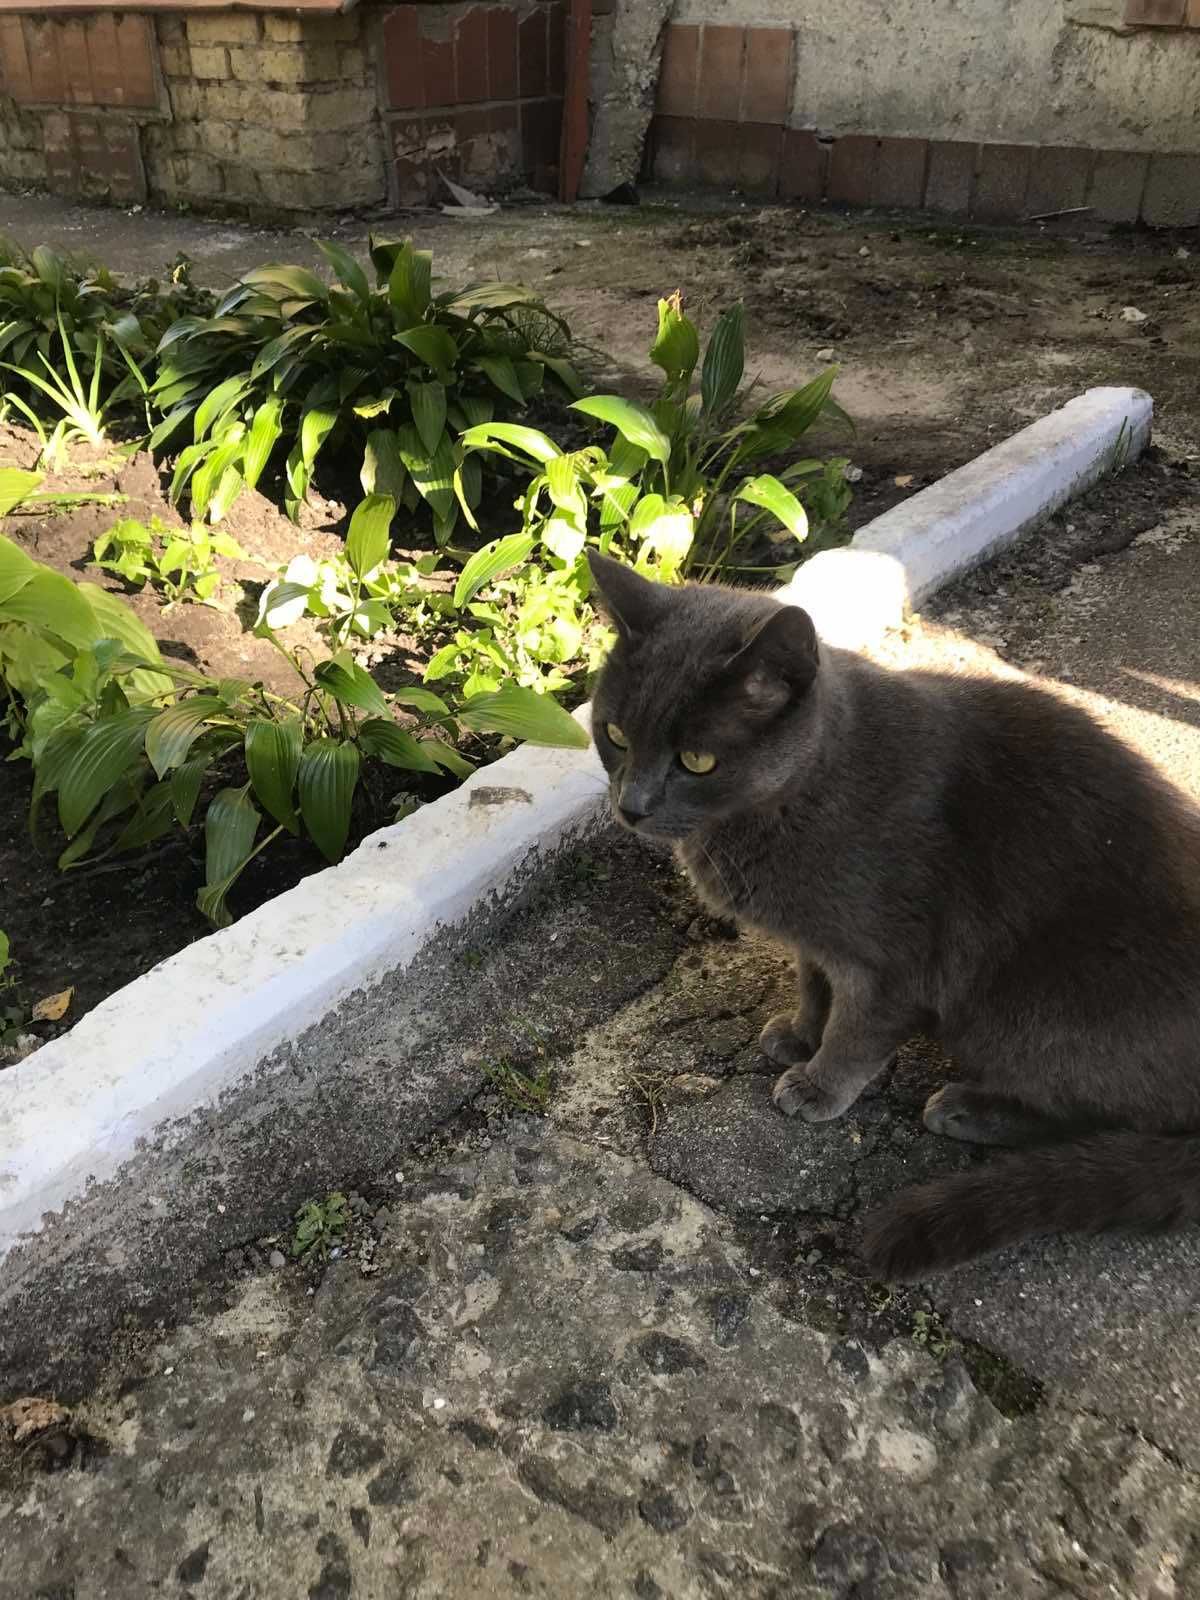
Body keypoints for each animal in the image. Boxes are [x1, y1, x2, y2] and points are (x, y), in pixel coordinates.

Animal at [588, 550, 1200, 1273]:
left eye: (697, 760)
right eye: (615, 734)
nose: (631, 806)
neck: (789, 802)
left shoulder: (894, 961)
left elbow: (858, 1032)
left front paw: (818, 1085)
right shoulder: (818, 941)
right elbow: (814, 987)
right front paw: (799, 1034)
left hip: (1029, 1008)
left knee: (1111, 1116)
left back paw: (968, 1109)